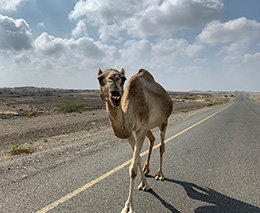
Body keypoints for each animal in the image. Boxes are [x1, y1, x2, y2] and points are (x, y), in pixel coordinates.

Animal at [97, 67, 173, 212]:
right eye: (99, 78)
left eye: (123, 78)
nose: (114, 79)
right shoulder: (130, 133)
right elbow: (137, 158)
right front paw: (144, 184)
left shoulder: (140, 130)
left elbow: (132, 169)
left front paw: (128, 206)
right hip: (149, 127)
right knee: (152, 139)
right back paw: (147, 169)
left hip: (163, 121)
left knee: (162, 146)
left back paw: (160, 174)